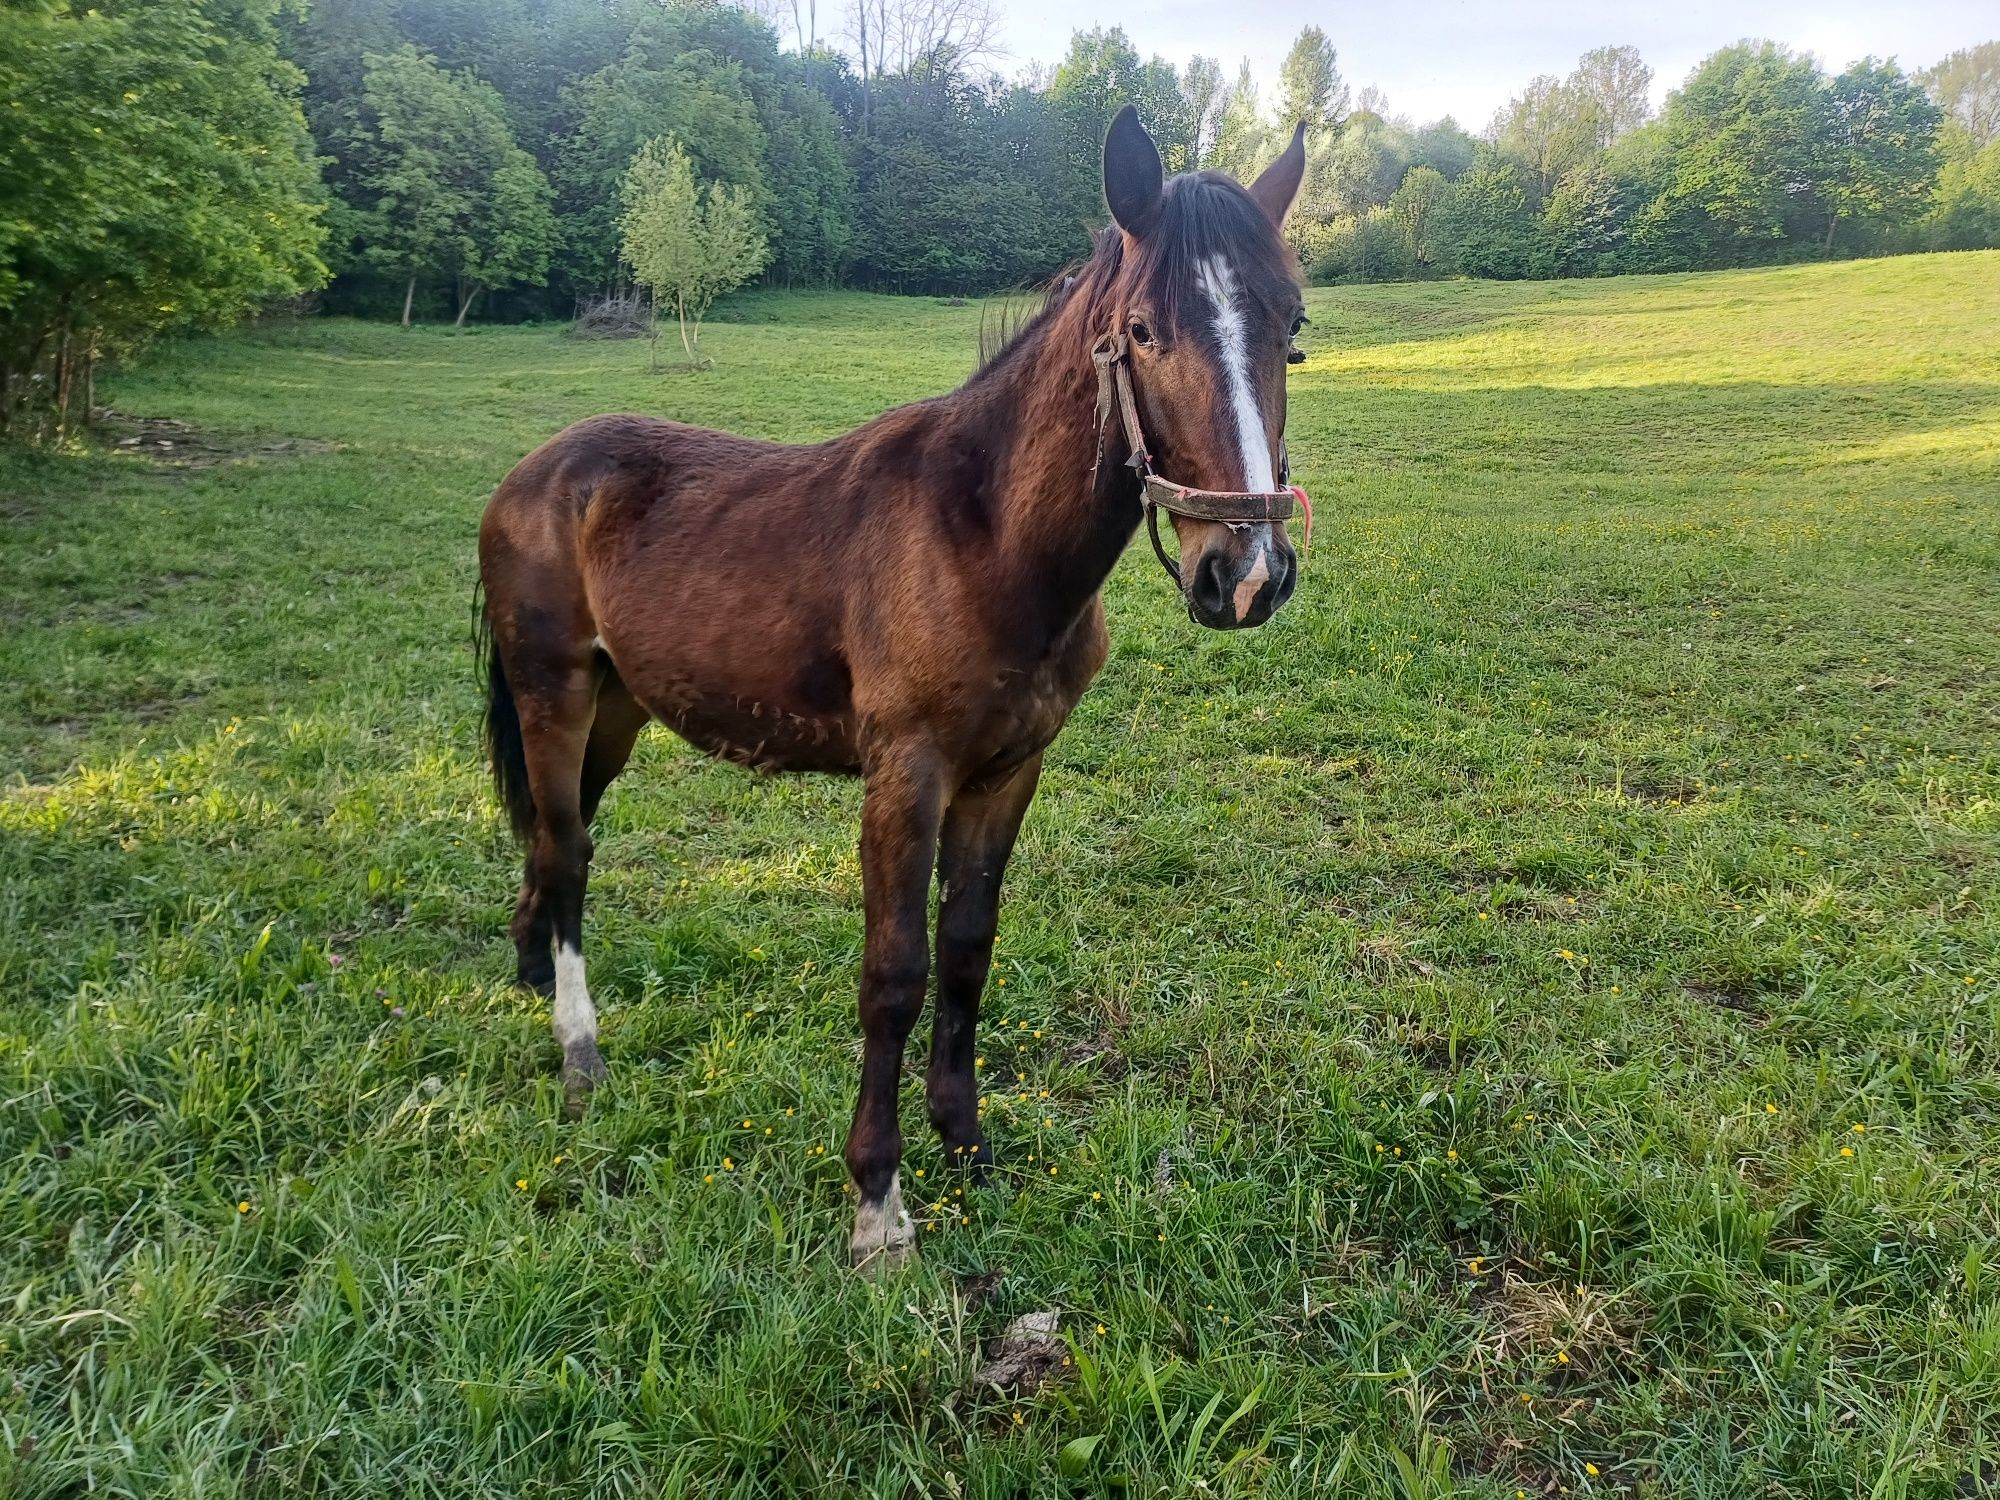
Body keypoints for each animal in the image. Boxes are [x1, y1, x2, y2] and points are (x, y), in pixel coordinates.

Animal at [470, 108, 1312, 1272]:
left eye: (1292, 328)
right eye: (1142, 332)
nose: (1246, 574)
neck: (985, 539)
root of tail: (532, 472)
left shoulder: (1006, 773)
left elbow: (964, 954)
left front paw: (965, 1142)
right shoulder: (903, 776)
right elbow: (894, 974)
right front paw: (878, 1201)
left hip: (616, 712)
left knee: (556, 852)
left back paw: (529, 976)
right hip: (551, 695)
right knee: (564, 851)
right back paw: (580, 1055)